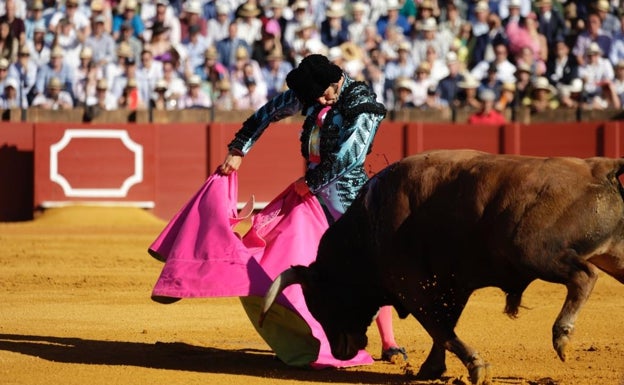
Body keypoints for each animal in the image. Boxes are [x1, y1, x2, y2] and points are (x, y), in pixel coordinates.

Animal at [258, 149, 624, 384]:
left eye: (320, 302)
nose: (339, 351)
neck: (368, 225)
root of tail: (598, 167)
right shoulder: (450, 285)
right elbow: (444, 325)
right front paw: (432, 370)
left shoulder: (411, 285)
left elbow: (440, 328)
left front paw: (476, 367)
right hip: (614, 254)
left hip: (533, 251)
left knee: (584, 275)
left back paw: (562, 336)